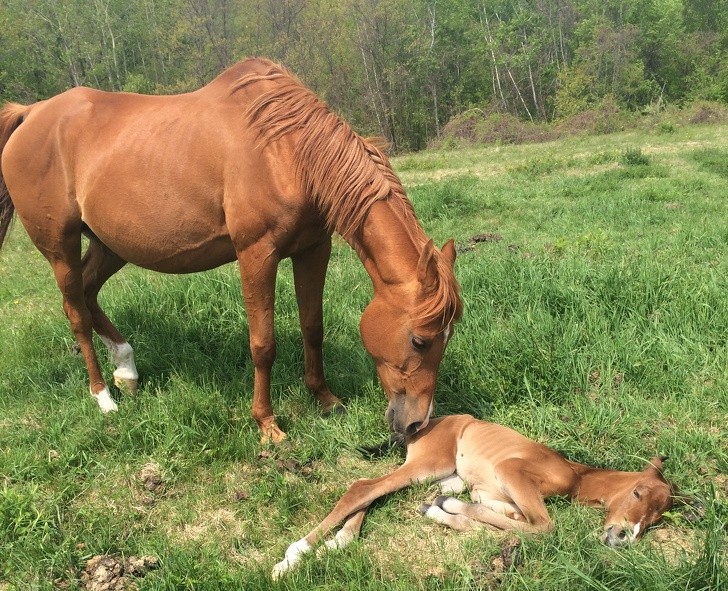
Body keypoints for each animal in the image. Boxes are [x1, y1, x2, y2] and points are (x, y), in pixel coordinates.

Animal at [1, 57, 460, 442]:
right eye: (420, 340)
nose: (417, 423)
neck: (287, 152)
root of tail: (32, 113)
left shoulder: (314, 248)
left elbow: (313, 326)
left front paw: (325, 399)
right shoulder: (257, 254)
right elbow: (263, 344)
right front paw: (267, 425)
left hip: (110, 244)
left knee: (87, 293)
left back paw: (127, 371)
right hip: (59, 245)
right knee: (75, 311)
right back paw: (103, 397)